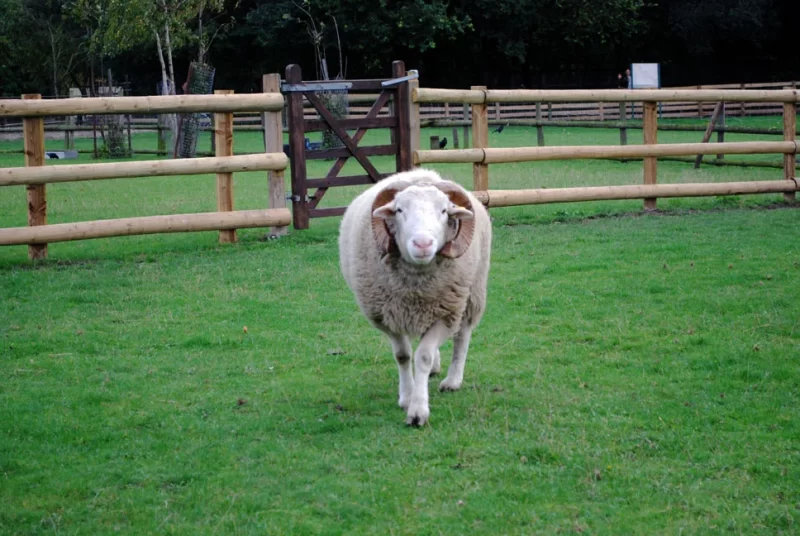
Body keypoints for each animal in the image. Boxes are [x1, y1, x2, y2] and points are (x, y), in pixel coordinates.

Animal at [336, 170, 490, 426]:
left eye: (444, 211)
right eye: (399, 210)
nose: (422, 243)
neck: (417, 289)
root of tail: (423, 173)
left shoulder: (447, 314)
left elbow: (423, 356)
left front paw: (418, 411)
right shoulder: (387, 316)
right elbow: (403, 356)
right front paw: (407, 397)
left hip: (473, 292)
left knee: (463, 335)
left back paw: (452, 380)